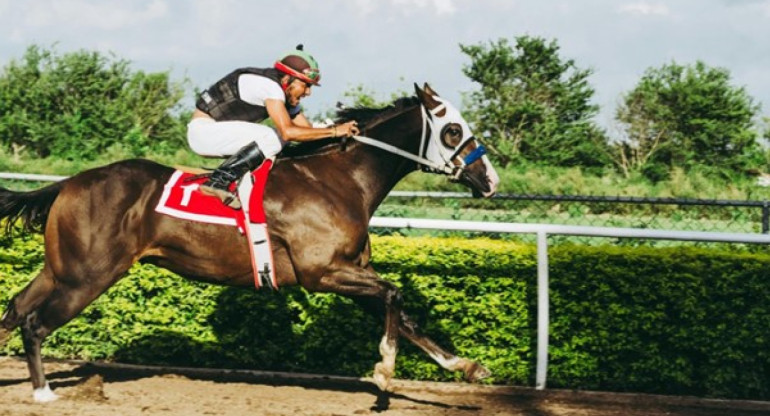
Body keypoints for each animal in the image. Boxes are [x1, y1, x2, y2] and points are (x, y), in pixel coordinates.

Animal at [0, 83, 498, 402]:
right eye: (453, 130)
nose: (490, 179)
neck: (339, 179)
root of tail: (68, 184)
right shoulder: (322, 273)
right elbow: (395, 296)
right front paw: (385, 371)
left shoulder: (351, 272)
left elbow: (403, 313)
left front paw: (465, 366)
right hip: (88, 276)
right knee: (35, 324)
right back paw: (43, 392)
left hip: (61, 269)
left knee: (16, 307)